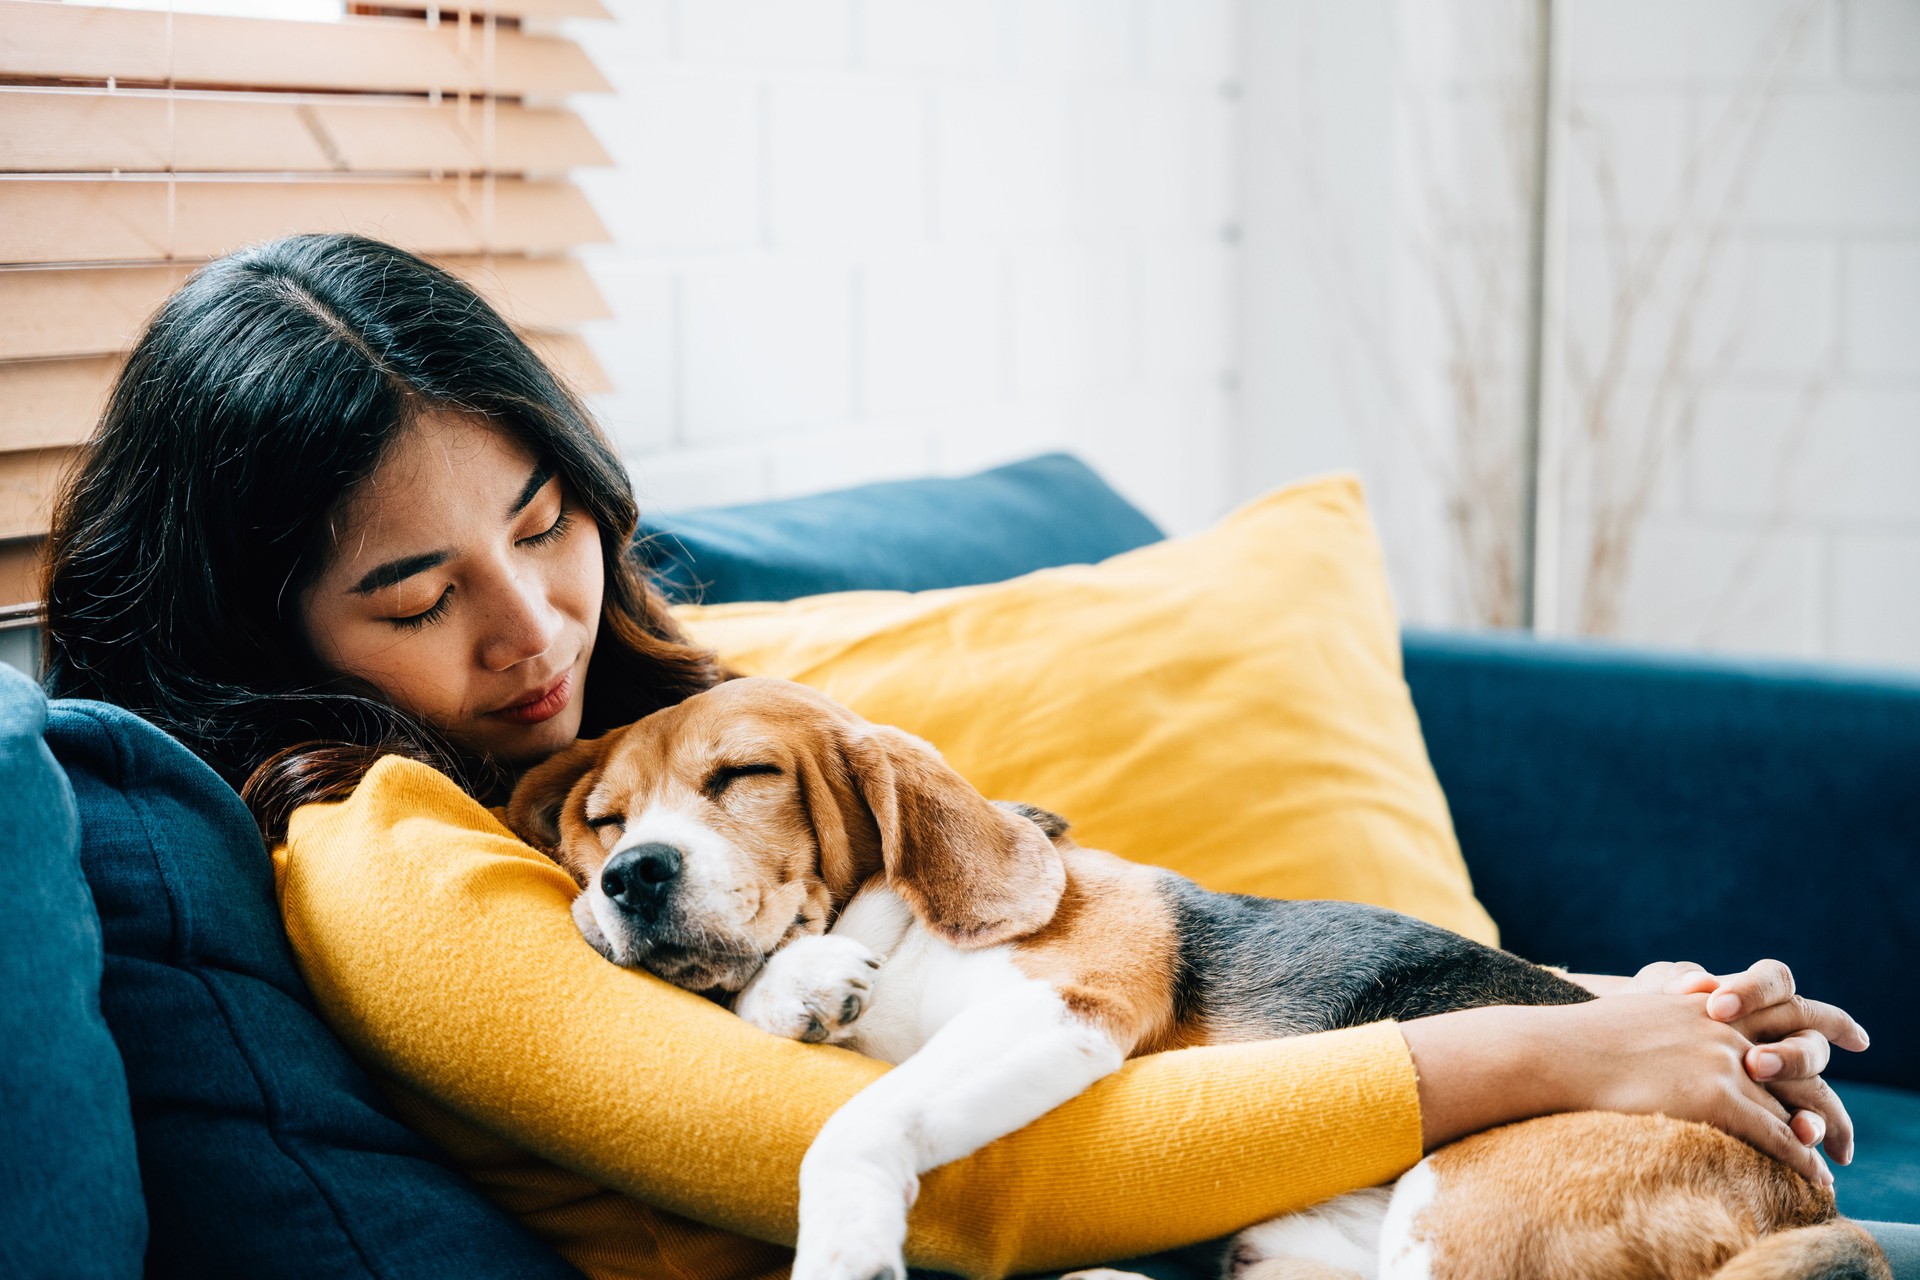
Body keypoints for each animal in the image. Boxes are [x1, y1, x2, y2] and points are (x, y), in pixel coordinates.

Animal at [510, 679, 1889, 1280]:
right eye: (602, 816)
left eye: (744, 774)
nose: (631, 874)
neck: (898, 927)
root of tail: (1803, 1197)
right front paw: (795, 986)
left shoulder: (1065, 1007)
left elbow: (857, 1122)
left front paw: (845, 1247)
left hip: (1463, 1214)